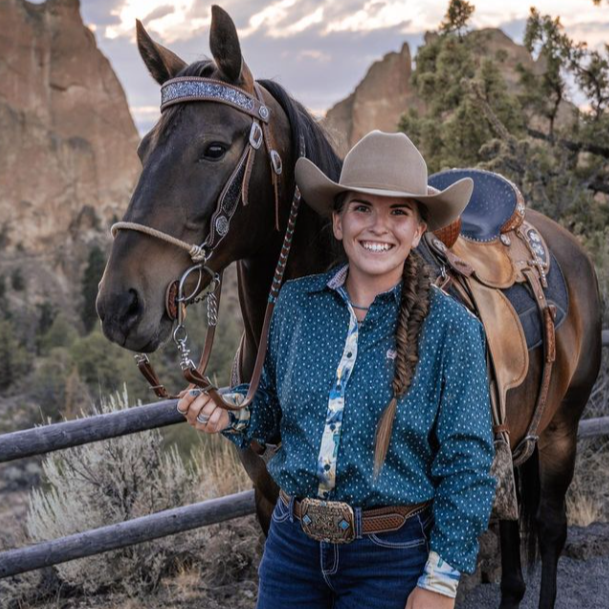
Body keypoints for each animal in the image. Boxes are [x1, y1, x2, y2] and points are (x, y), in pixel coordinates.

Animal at [96, 5, 604, 608]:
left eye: (214, 147)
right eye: (142, 149)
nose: (119, 304)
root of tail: (567, 245)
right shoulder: (268, 503)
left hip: (561, 432)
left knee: (548, 531)